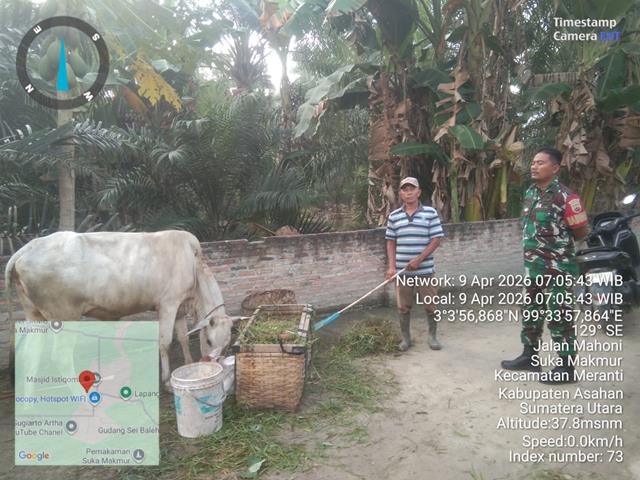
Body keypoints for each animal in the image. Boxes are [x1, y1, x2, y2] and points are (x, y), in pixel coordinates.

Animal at [4, 230, 234, 386]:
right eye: (209, 340)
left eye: (227, 344)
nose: (212, 361)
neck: (194, 265)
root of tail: (29, 247)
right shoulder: (167, 304)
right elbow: (166, 343)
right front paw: (167, 379)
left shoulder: (179, 308)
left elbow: (184, 338)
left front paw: (188, 363)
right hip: (64, 316)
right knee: (61, 357)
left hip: (34, 315)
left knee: (30, 355)